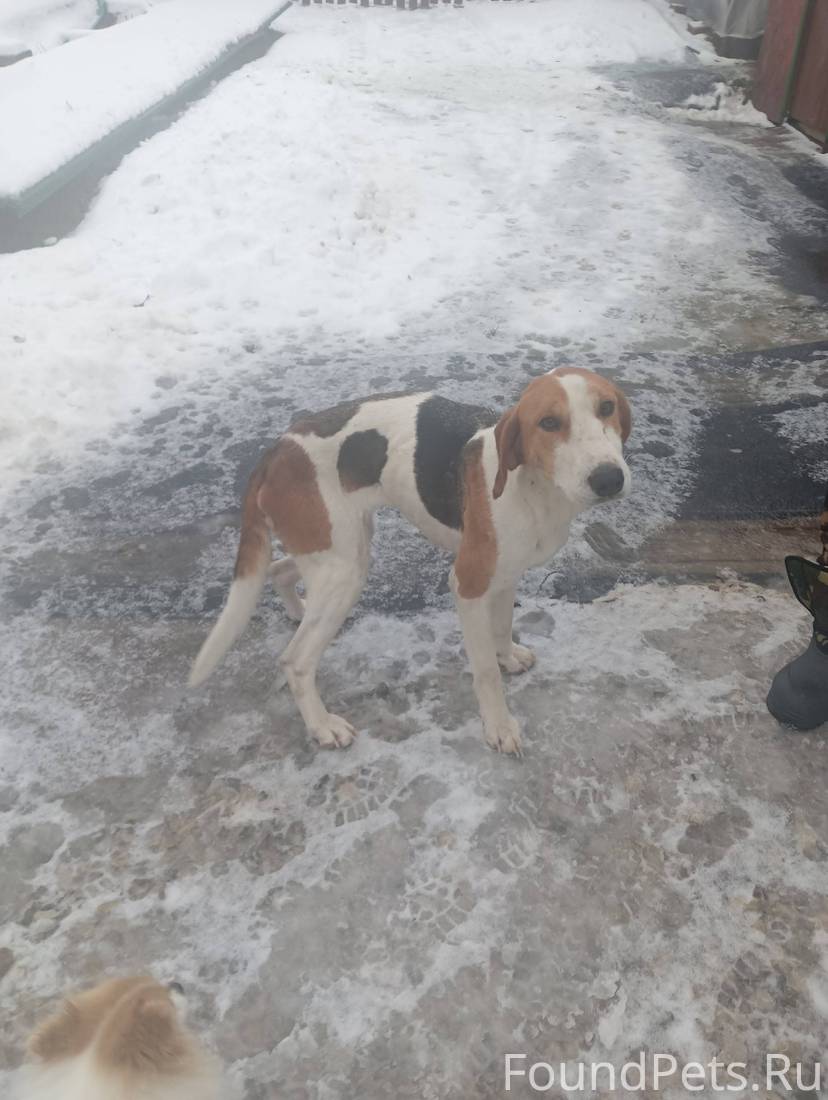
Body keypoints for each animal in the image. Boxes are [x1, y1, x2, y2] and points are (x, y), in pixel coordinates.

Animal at [189, 366, 631, 755]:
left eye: (607, 407)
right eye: (549, 422)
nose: (609, 479)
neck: (536, 487)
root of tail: (275, 450)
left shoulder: (506, 575)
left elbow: (503, 628)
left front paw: (508, 656)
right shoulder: (469, 584)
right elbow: (486, 671)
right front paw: (499, 727)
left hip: (340, 547)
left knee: (279, 570)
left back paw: (298, 610)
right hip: (345, 569)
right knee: (295, 661)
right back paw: (322, 726)